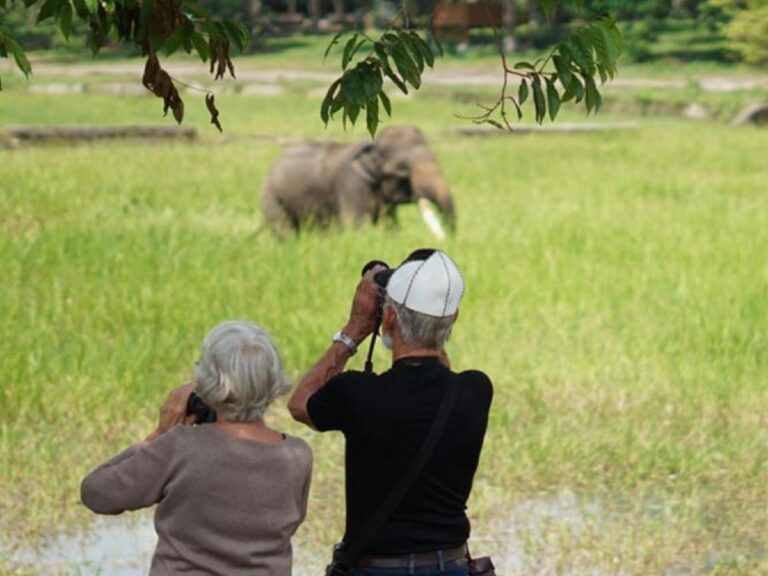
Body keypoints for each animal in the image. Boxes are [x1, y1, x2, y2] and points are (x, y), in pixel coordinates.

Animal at [260, 126, 455, 237]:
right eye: (403, 169)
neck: (371, 146)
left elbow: (391, 224)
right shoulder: (351, 184)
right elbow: (354, 224)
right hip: (272, 198)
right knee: (284, 229)